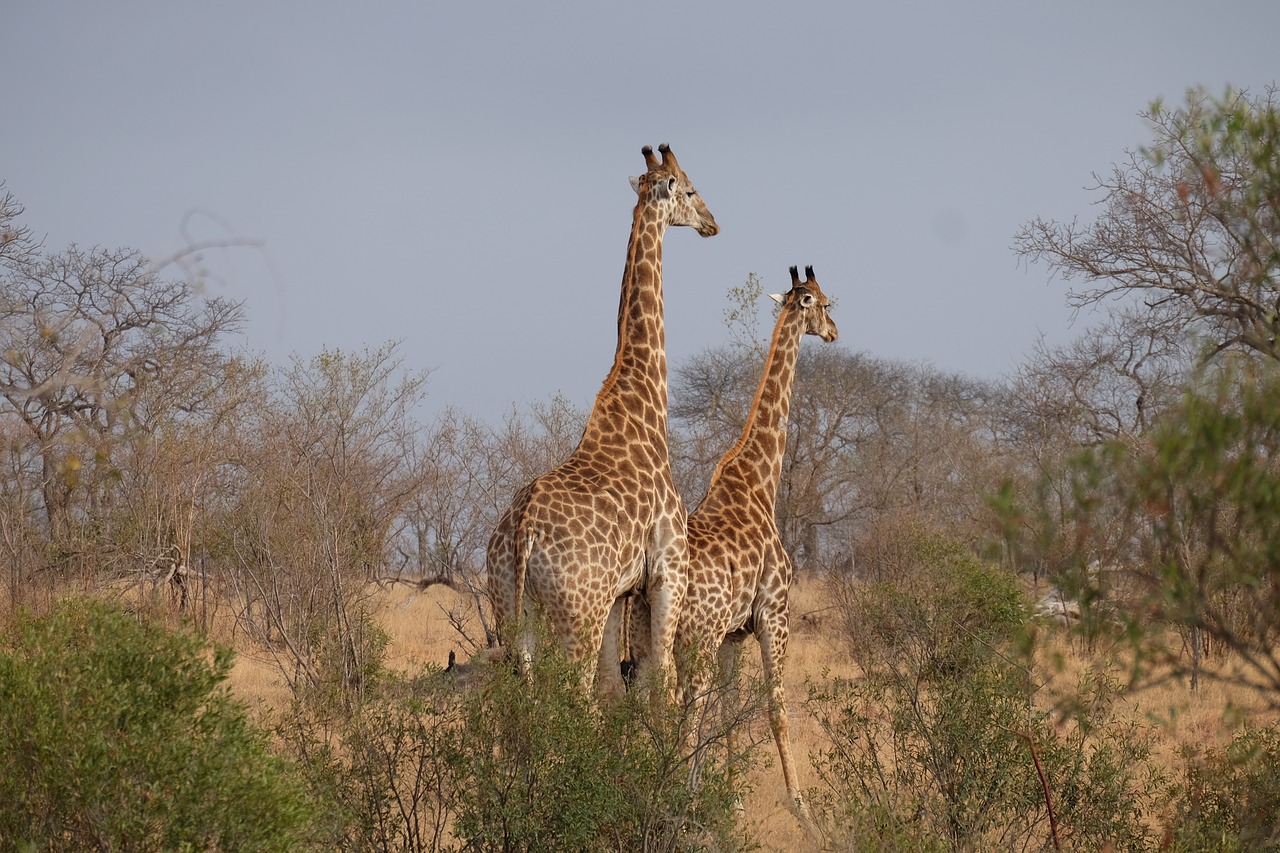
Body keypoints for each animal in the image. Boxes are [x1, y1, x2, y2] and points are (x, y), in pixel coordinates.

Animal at [483, 144, 716, 691]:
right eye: (690, 188)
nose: (712, 223)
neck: (645, 406)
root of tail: (522, 532)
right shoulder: (668, 569)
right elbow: (661, 673)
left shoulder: (620, 591)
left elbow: (618, 681)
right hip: (577, 612)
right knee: (576, 692)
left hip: (512, 611)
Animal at [629, 266, 839, 824]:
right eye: (825, 303)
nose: (835, 333)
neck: (761, 483)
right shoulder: (774, 614)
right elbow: (774, 706)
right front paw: (800, 806)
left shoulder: (732, 635)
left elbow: (727, 708)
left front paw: (731, 799)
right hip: (692, 638)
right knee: (684, 703)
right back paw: (670, 797)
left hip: (648, 639)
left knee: (654, 703)